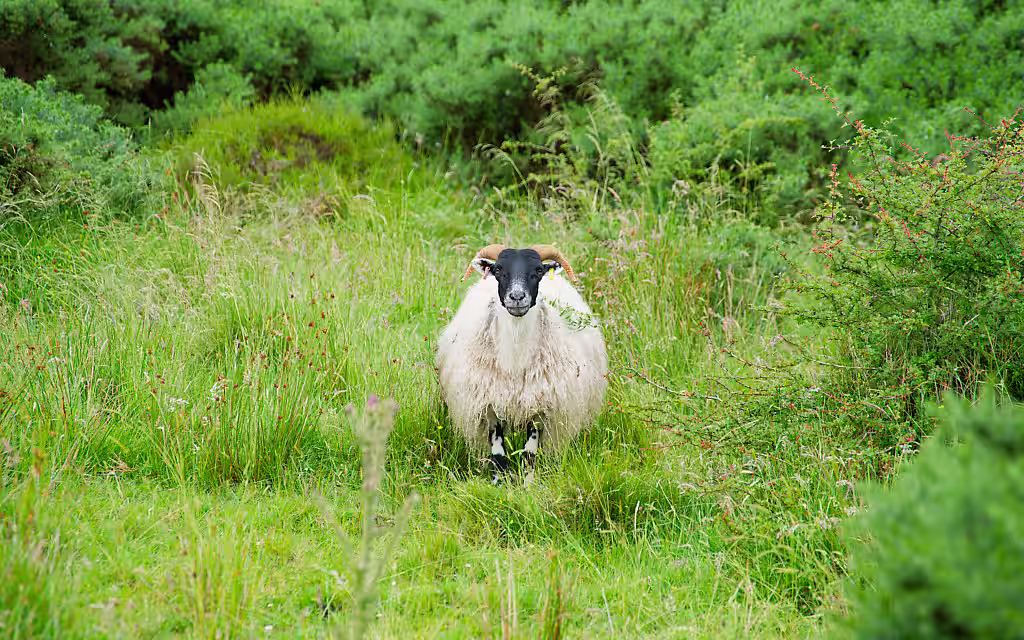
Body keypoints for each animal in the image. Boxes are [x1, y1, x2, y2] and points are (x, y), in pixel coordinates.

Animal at [436, 244, 608, 483]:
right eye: (498, 269)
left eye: (538, 270)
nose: (517, 297)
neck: (515, 360)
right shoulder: (490, 406)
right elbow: (498, 454)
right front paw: (498, 484)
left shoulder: (539, 408)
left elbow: (529, 453)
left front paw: (528, 484)